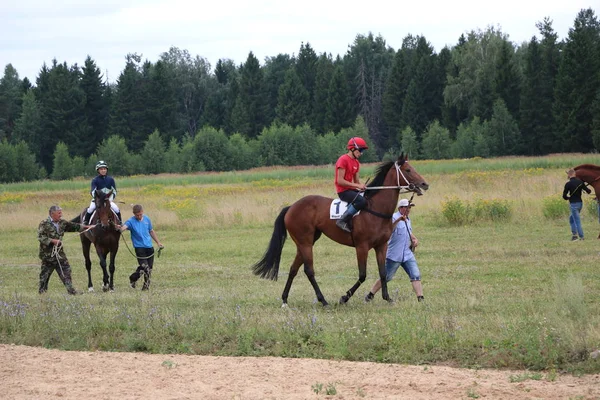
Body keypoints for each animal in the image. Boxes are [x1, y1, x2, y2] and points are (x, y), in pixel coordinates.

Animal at [251, 154, 428, 306]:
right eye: (408, 170)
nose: (425, 184)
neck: (375, 209)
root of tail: (291, 207)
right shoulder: (361, 247)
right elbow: (362, 275)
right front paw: (344, 297)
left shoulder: (381, 246)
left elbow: (383, 273)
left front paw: (387, 298)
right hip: (305, 242)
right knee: (309, 271)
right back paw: (323, 300)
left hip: (306, 242)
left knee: (294, 269)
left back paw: (285, 299)